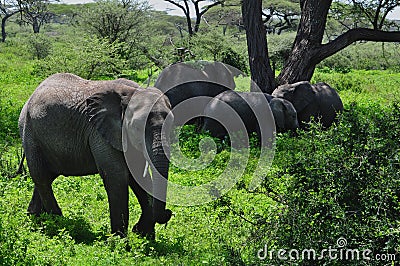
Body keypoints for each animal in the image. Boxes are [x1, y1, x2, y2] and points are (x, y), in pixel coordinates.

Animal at [18, 73, 173, 239]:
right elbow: (117, 176)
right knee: (41, 177)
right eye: (137, 127)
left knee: (47, 176)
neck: (131, 92)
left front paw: (144, 235)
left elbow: (137, 175)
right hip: (29, 133)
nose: (168, 213)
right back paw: (59, 223)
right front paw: (120, 242)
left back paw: (36, 218)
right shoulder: (99, 131)